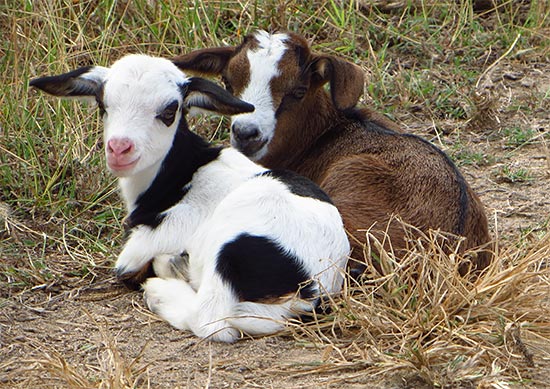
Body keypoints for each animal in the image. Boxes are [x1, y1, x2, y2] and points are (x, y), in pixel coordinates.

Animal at [30, 53, 350, 340]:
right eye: (102, 104)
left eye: (170, 110)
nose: (120, 148)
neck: (184, 172)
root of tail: (308, 290)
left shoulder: (142, 246)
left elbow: (127, 270)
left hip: (232, 245)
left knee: (211, 321)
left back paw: (162, 290)